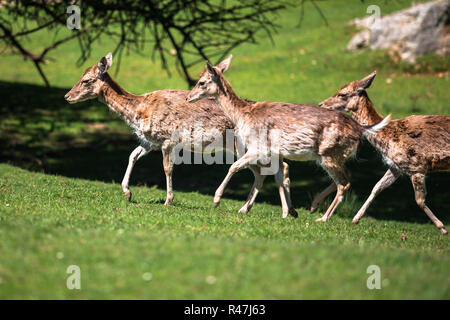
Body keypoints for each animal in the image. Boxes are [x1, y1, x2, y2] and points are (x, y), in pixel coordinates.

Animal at [64, 53, 296, 216]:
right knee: (270, 169)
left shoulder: (168, 138)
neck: (139, 109)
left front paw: (168, 200)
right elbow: (132, 155)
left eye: (86, 80)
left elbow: (167, 168)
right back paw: (260, 210)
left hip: (244, 146)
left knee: (269, 168)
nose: (67, 96)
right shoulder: (150, 141)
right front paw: (127, 192)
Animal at [186, 55, 390, 220]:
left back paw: (323, 218)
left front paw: (216, 200)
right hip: (334, 156)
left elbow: (234, 166)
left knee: (344, 182)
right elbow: (276, 175)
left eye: (202, 82)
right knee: (347, 176)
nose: (188, 97)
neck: (243, 115)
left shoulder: (259, 147)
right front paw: (286, 211)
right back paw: (314, 206)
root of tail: (360, 129)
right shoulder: (274, 152)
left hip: (330, 153)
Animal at [318, 71, 448, 234]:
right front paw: (355, 218)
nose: (321, 104)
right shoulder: (395, 166)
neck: (387, 137)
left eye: (342, 94)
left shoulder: (417, 166)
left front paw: (442, 227)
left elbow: (419, 200)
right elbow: (376, 187)